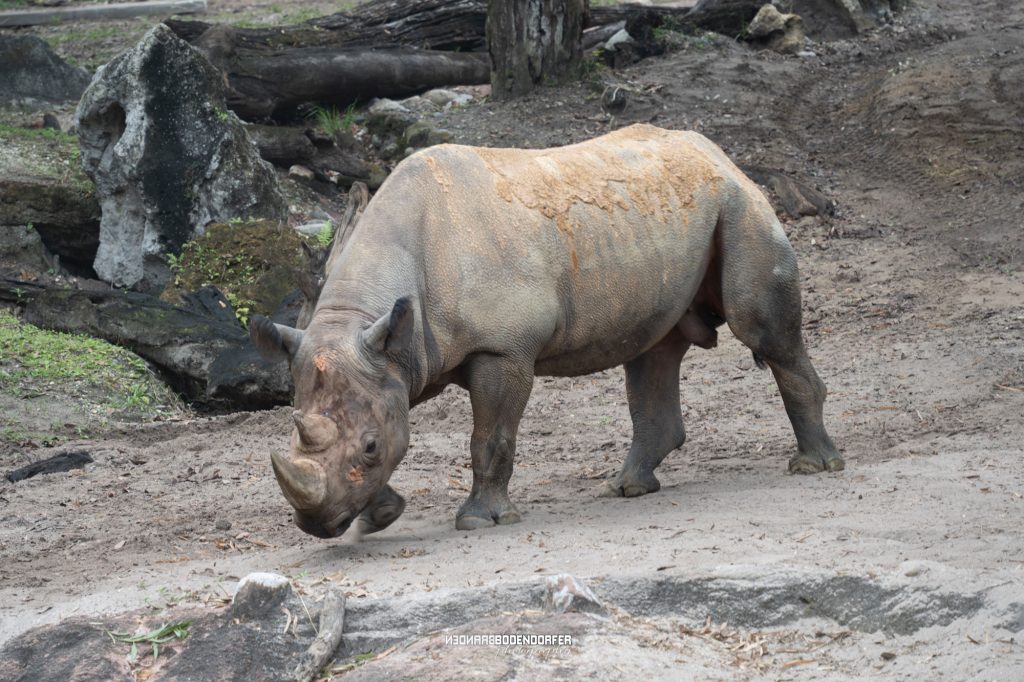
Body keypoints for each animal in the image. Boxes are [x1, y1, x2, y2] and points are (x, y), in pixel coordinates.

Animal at [250, 124, 844, 539]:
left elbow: (490, 437)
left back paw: (814, 466)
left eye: (369, 448)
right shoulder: (390, 357)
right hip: (667, 215)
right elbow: (393, 420)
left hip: (738, 204)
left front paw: (480, 521)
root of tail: (717, 151)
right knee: (652, 351)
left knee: (762, 331)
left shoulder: (502, 349)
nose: (316, 527)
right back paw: (627, 488)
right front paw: (381, 516)